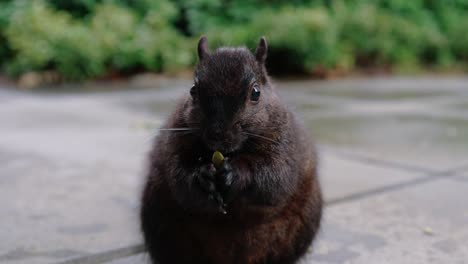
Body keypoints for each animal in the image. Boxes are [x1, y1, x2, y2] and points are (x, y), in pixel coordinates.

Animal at [139, 35, 322, 264]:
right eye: (193, 90)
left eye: (256, 93)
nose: (217, 134)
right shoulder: (175, 141)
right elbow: (179, 176)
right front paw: (203, 177)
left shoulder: (285, 143)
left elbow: (277, 177)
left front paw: (236, 173)